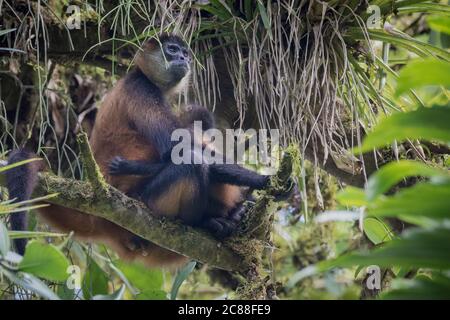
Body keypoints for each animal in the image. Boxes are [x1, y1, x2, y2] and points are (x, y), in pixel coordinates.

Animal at [5, 34, 274, 268]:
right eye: (172, 50)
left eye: (185, 53)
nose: (183, 59)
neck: (138, 75)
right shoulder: (141, 87)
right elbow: (177, 150)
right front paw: (266, 182)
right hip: (149, 202)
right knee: (192, 162)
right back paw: (207, 223)